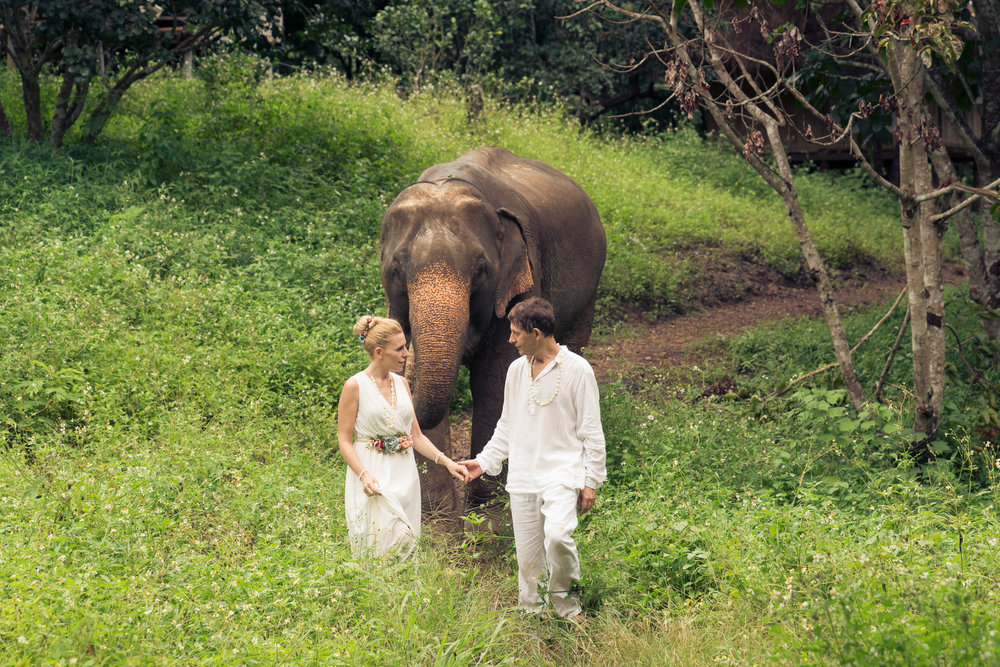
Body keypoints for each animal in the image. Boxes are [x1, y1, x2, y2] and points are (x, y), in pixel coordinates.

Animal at [378, 145, 604, 512]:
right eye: (396, 269)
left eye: (482, 269)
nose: (405, 353)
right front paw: (435, 512)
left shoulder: (521, 284)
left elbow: (494, 380)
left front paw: (486, 507)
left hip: (589, 293)